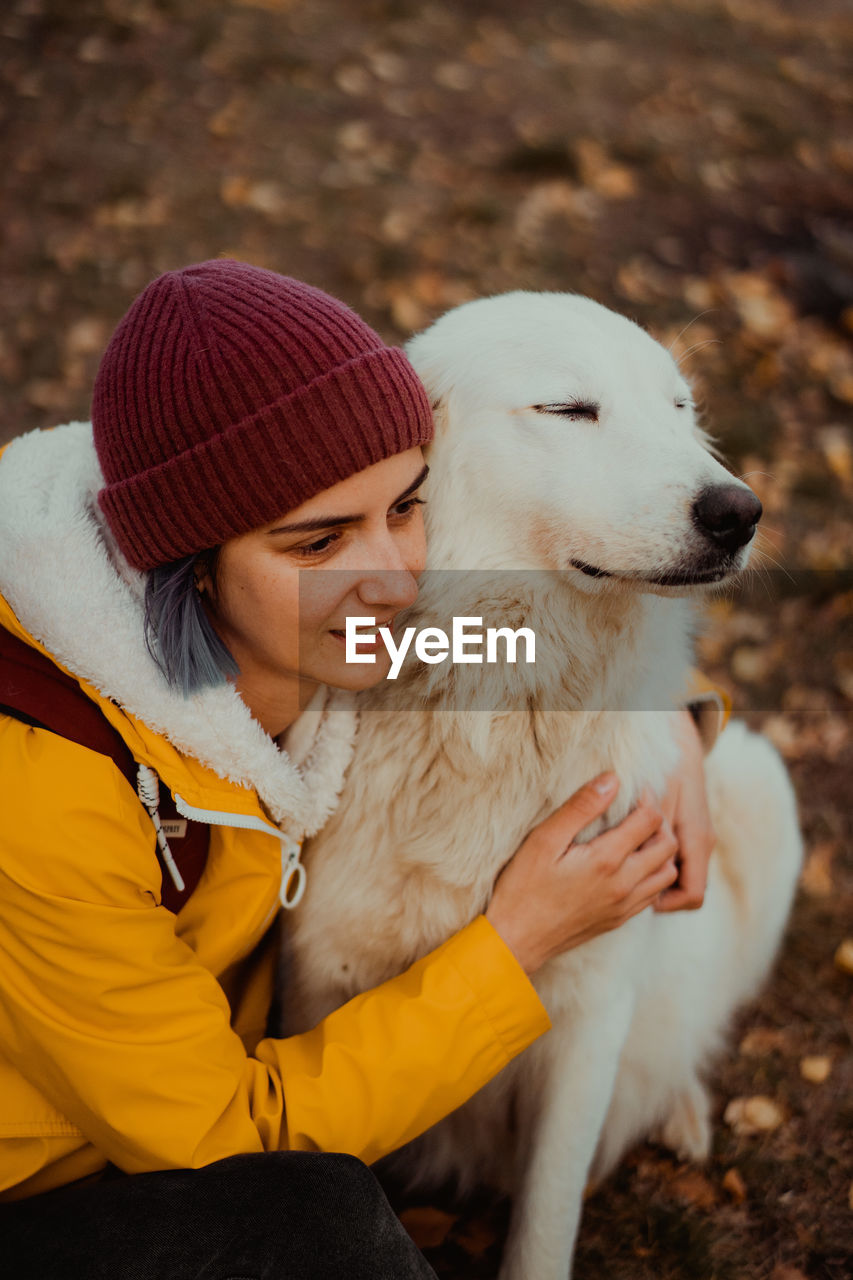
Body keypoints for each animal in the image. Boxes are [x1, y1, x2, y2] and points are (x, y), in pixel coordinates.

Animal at [281, 293, 799, 1280]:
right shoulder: (322, 986)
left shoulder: (589, 1019)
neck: (498, 708)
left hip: (760, 783)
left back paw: (681, 1112)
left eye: (679, 410)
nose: (740, 511)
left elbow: (546, 1219)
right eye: (568, 410)